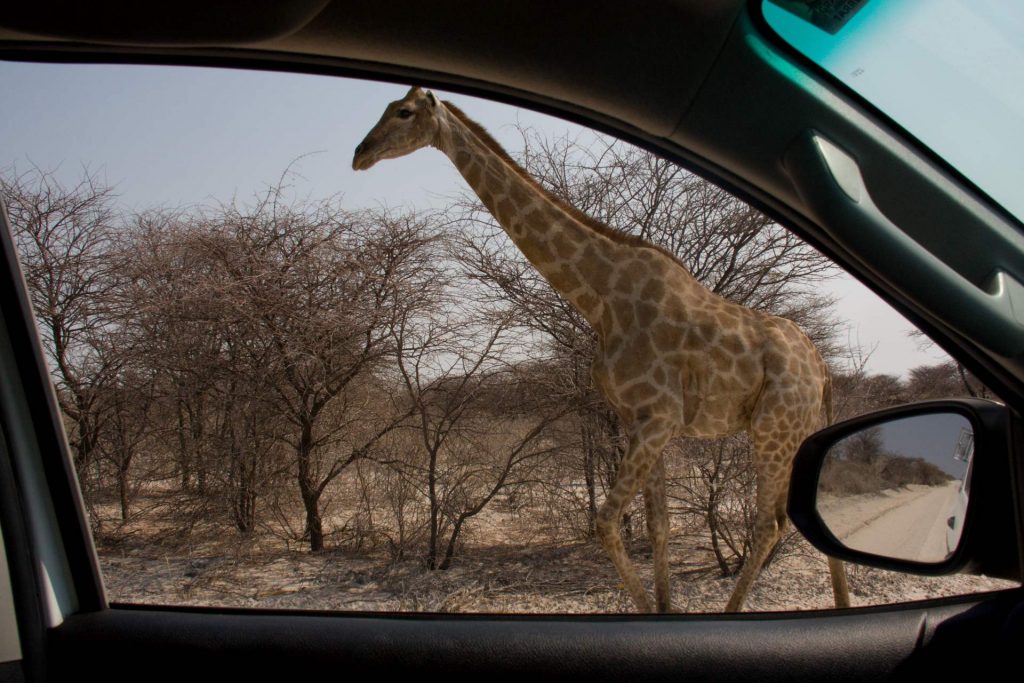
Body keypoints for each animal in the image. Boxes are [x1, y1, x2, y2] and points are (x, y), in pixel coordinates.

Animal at [352, 87, 847, 614]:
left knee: (768, 524)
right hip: (793, 433)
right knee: (799, 517)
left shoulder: (660, 417)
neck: (600, 298)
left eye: (404, 112)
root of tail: (821, 367)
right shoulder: (643, 419)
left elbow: (608, 522)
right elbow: (658, 526)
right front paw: (664, 611)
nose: (360, 153)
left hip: (772, 430)